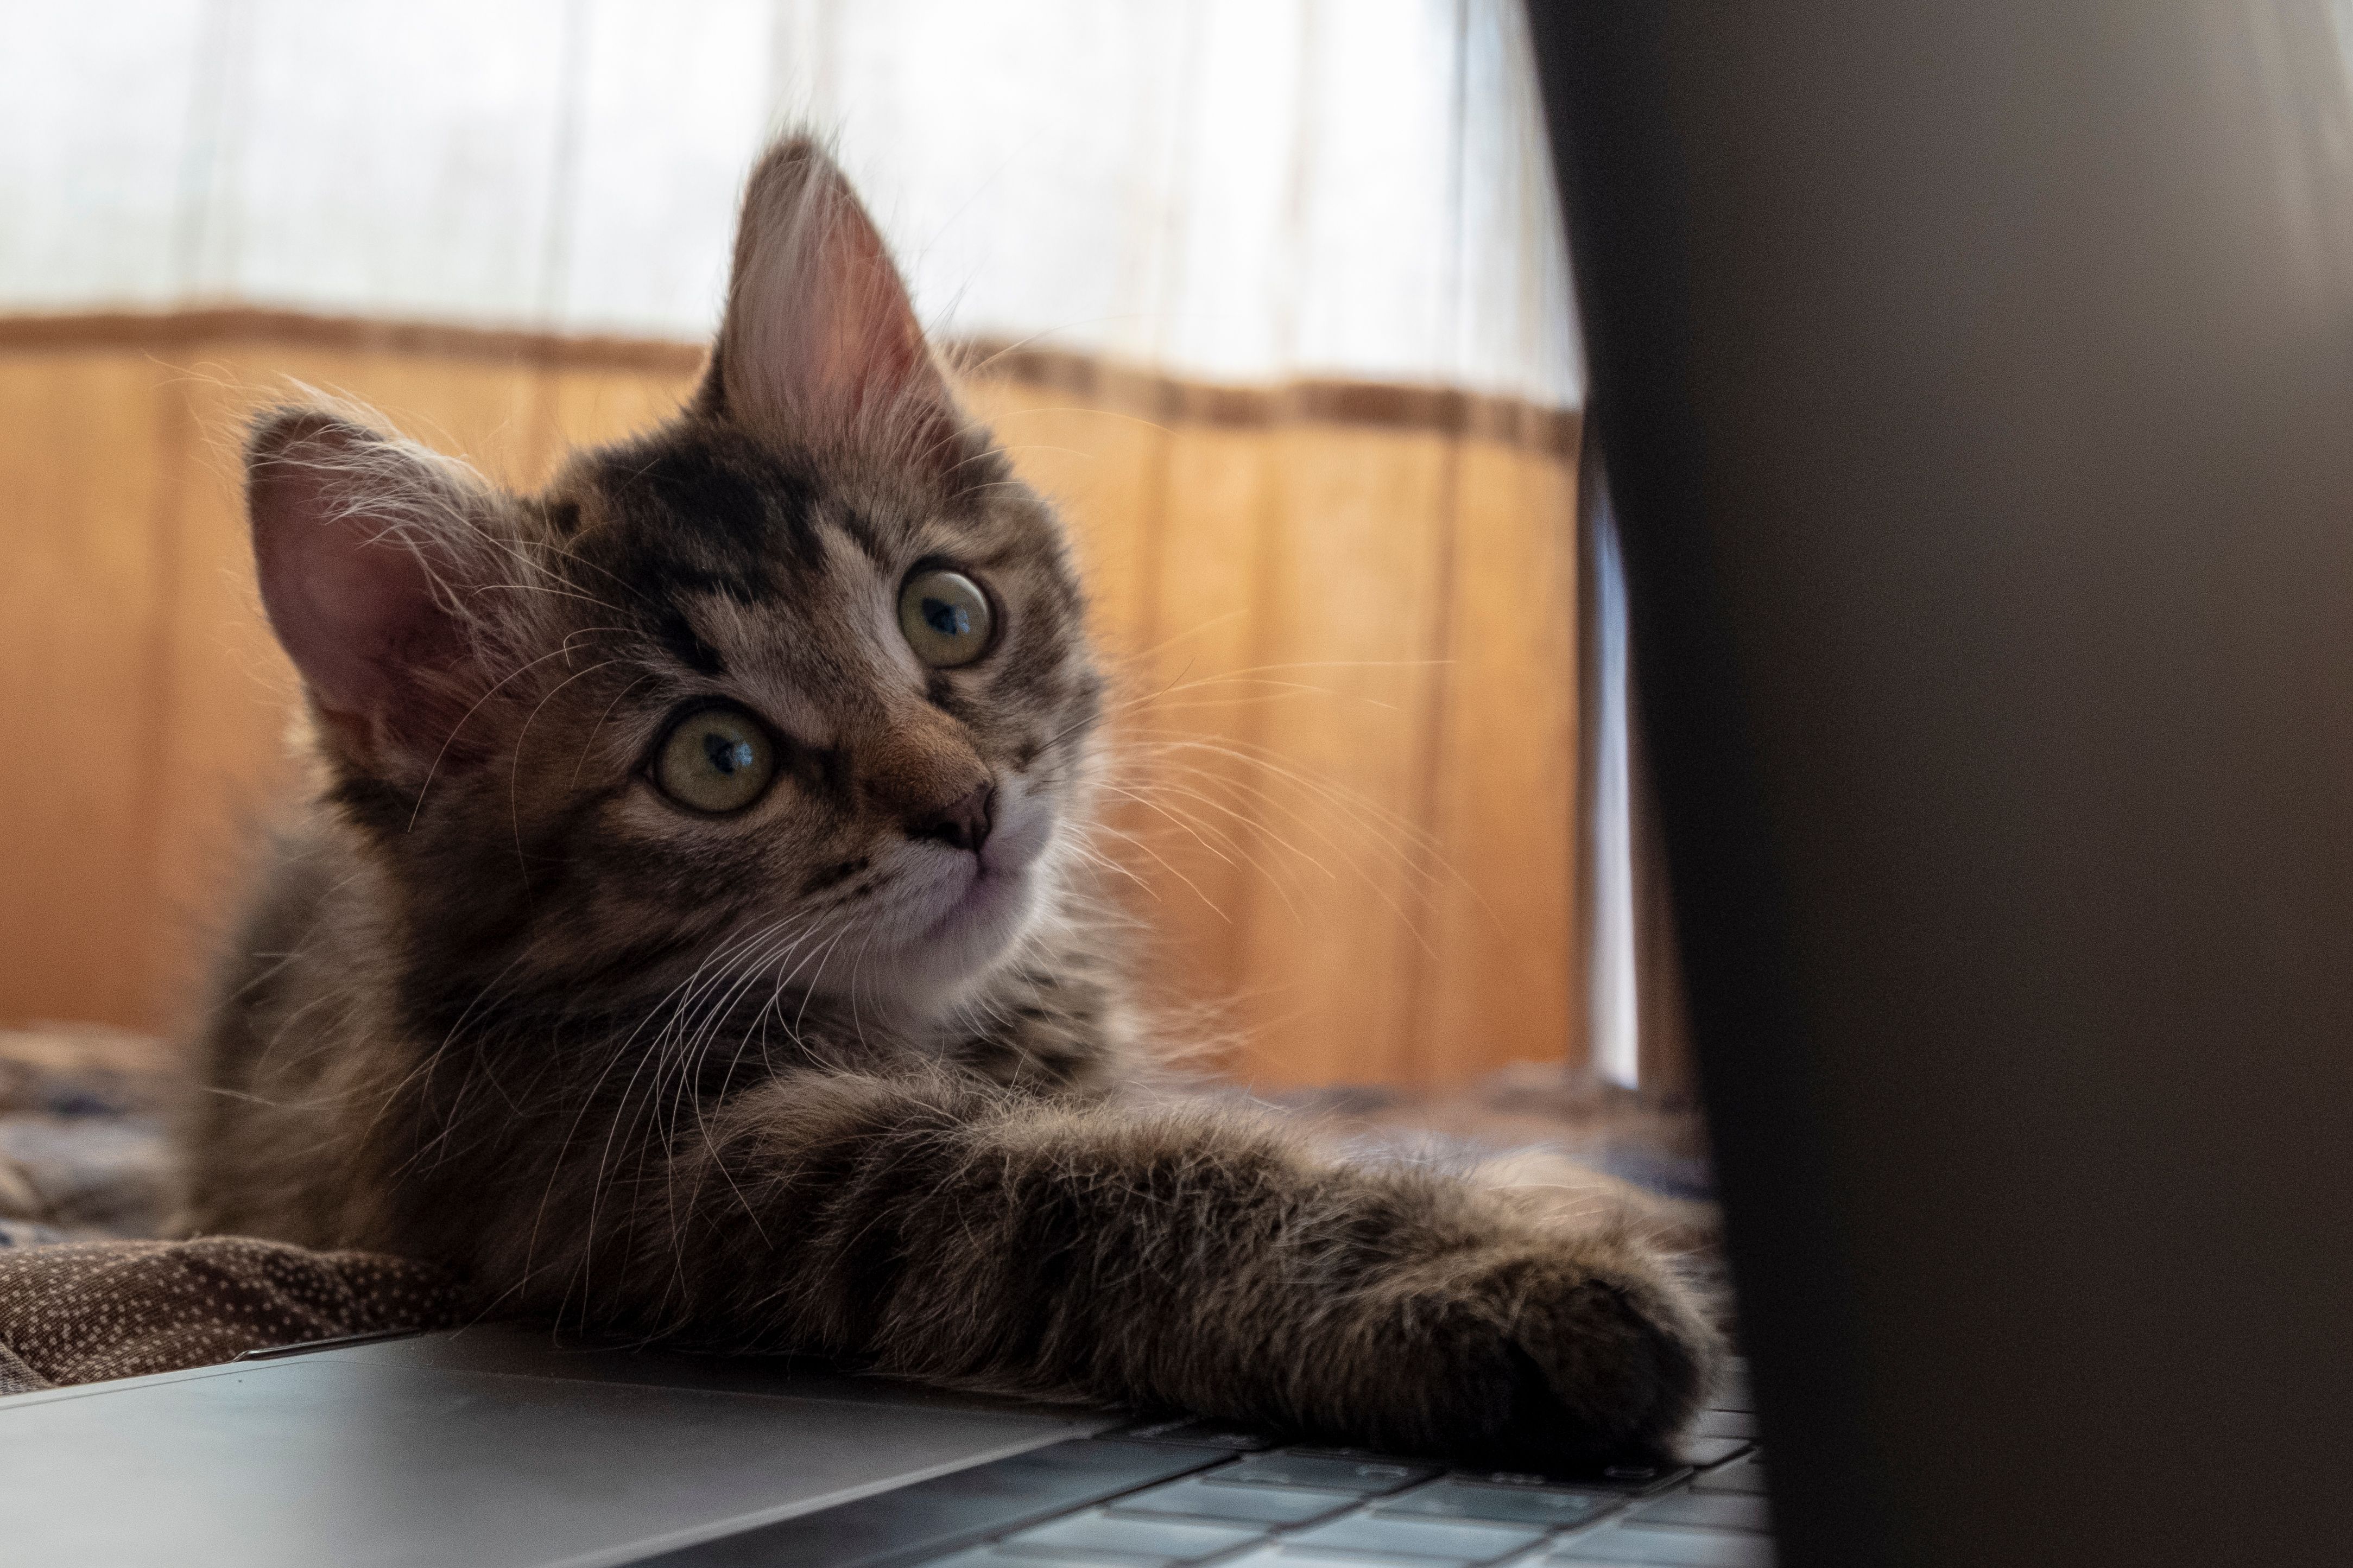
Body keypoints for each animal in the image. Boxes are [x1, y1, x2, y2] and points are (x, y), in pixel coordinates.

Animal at [177, 137, 1719, 1465]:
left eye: (947, 612)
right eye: (715, 759)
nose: (968, 802)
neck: (943, 1029)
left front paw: (1568, 1183)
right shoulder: (670, 1171)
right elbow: (1096, 1184)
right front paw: (1486, 1265)